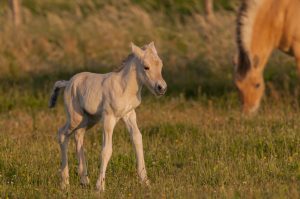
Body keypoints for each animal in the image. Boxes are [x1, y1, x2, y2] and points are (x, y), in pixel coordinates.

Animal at [48, 41, 168, 191]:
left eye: (161, 65)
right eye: (146, 67)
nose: (161, 88)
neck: (124, 87)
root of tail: (68, 82)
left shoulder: (129, 114)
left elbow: (137, 140)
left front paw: (145, 181)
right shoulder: (108, 117)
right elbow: (106, 150)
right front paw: (100, 186)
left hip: (89, 119)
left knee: (78, 135)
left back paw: (84, 180)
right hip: (75, 117)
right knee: (62, 134)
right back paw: (65, 182)